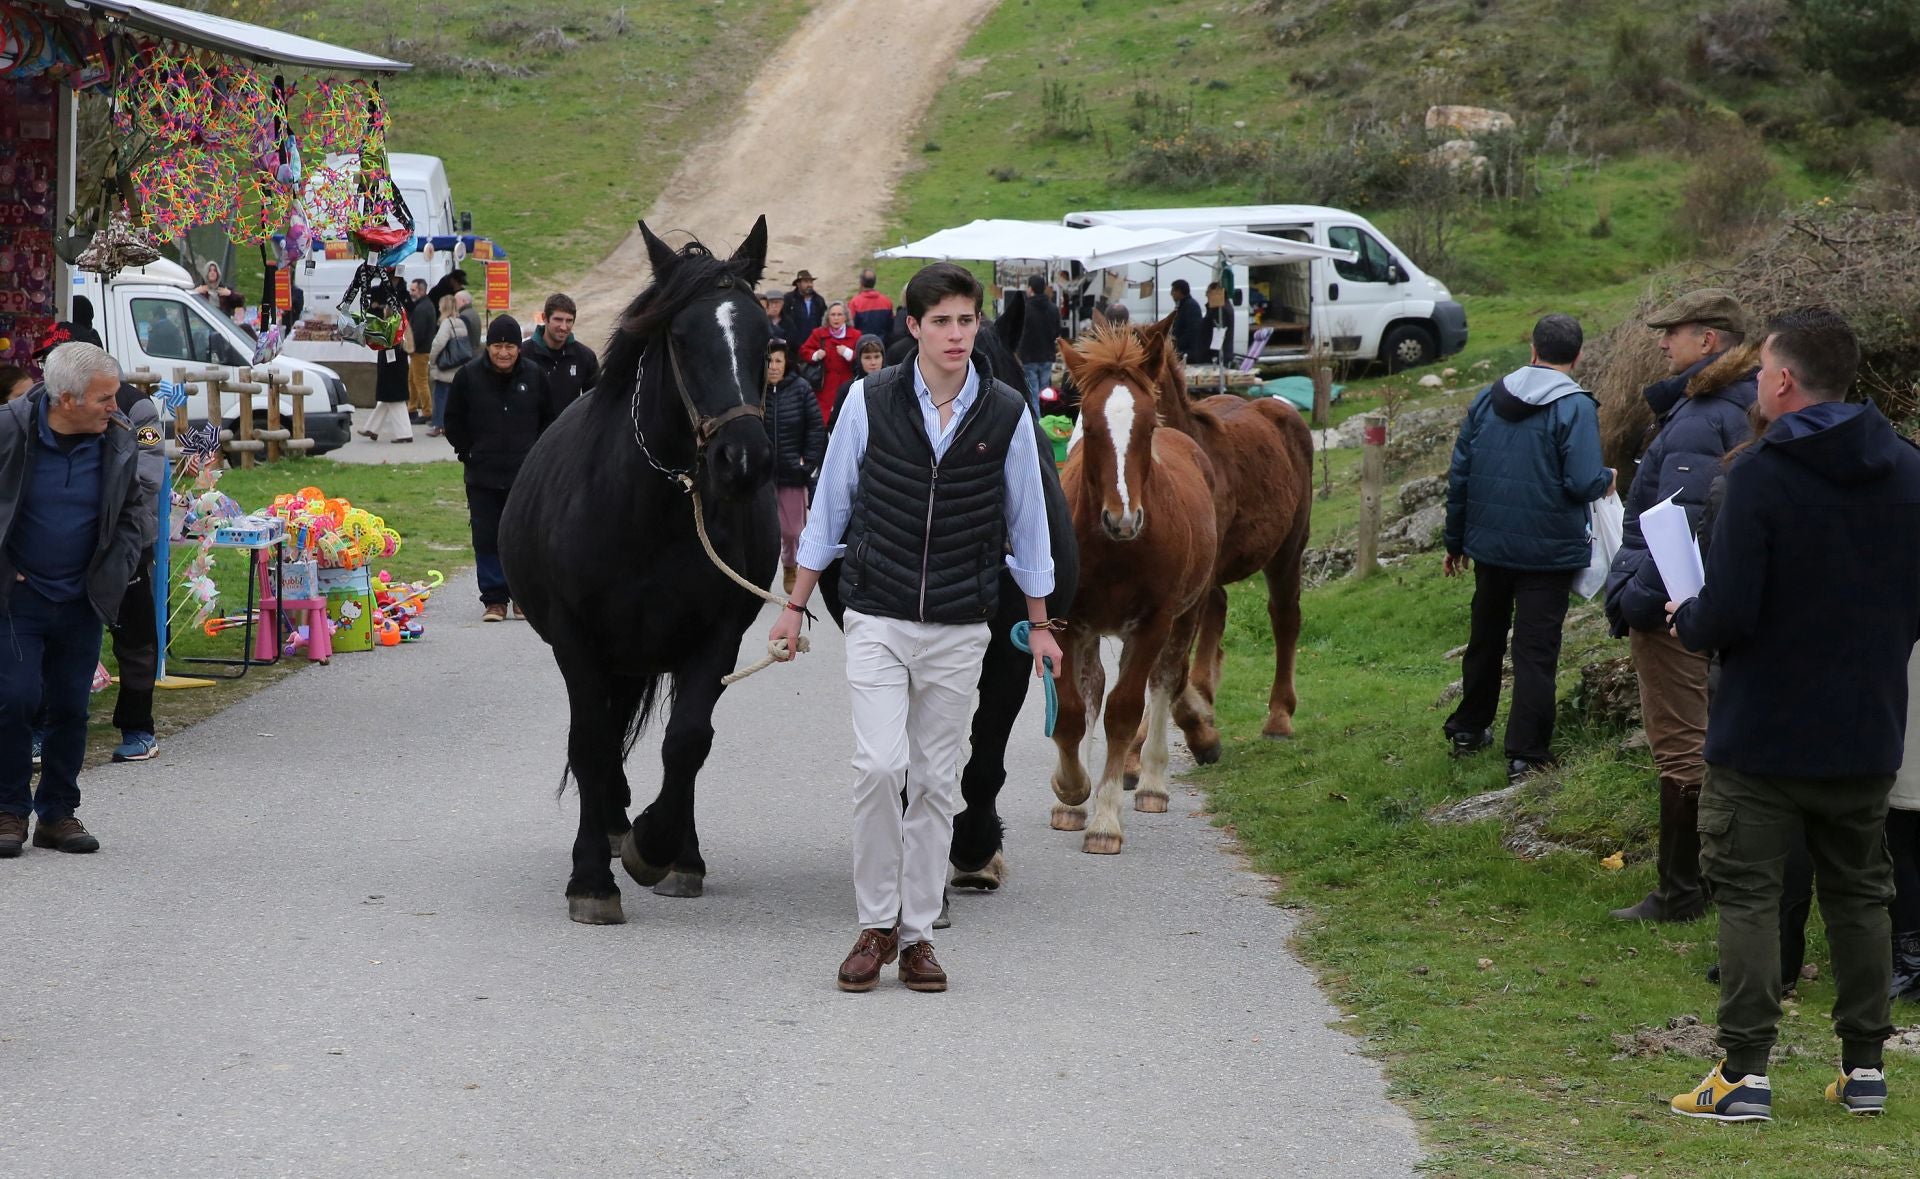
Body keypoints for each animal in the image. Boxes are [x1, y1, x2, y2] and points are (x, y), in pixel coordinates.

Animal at [506, 219, 783, 925]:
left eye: (766, 339)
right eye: (681, 338)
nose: (743, 460)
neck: (650, 510)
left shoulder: (717, 638)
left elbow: (687, 740)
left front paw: (661, 847)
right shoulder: (575, 638)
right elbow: (591, 743)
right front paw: (592, 879)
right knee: (601, 737)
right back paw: (609, 825)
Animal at [1044, 328, 1221, 856]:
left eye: (1144, 428)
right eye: (1089, 428)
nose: (1122, 520)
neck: (1113, 548)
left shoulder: (1152, 623)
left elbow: (1125, 712)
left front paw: (1105, 821)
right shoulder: (1065, 621)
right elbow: (1072, 710)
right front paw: (1071, 791)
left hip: (1186, 614)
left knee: (1164, 680)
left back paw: (1152, 786)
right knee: (1093, 687)